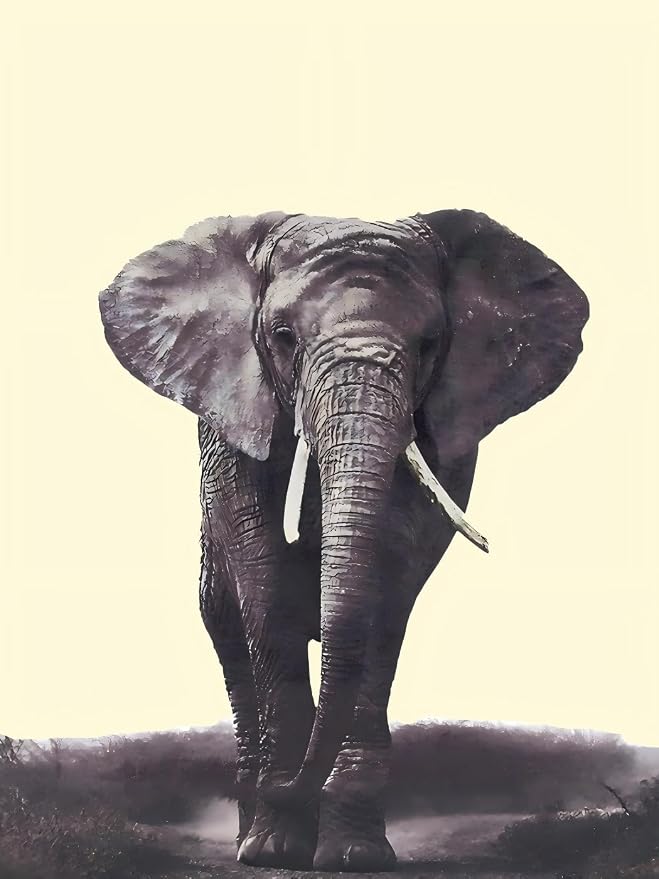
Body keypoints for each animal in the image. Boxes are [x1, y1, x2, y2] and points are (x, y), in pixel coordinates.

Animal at [98, 209, 589, 871]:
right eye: (282, 336)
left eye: (430, 344)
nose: (288, 787)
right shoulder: (232, 422)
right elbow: (262, 575)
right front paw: (275, 850)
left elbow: (390, 584)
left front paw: (354, 855)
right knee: (228, 628)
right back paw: (254, 831)